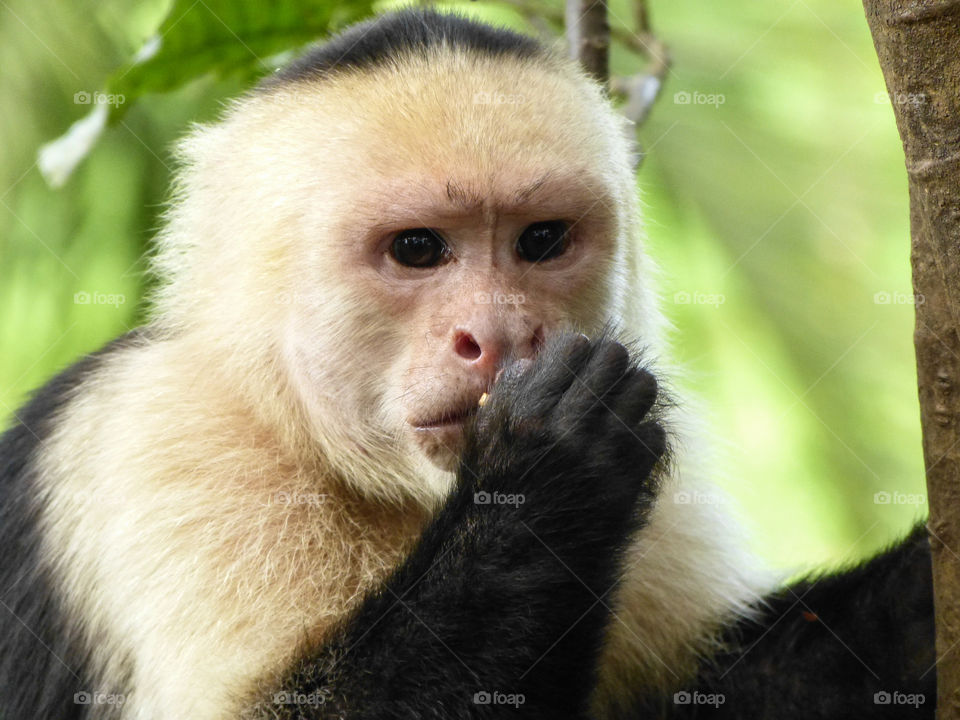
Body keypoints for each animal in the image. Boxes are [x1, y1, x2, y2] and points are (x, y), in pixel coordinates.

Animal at [0, 8, 934, 719]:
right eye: (418, 249)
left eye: (541, 240)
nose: (497, 335)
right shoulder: (171, 444)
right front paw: (548, 467)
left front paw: (919, 592)